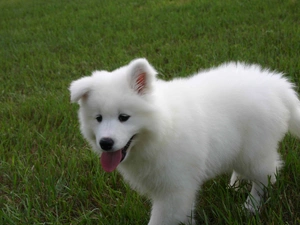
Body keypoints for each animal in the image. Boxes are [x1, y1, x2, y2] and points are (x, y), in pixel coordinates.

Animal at [68, 59, 300, 224]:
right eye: (98, 118)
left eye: (124, 117)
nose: (105, 143)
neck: (162, 128)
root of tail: (276, 83)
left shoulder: (174, 189)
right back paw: (235, 184)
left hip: (255, 149)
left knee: (267, 175)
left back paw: (250, 206)